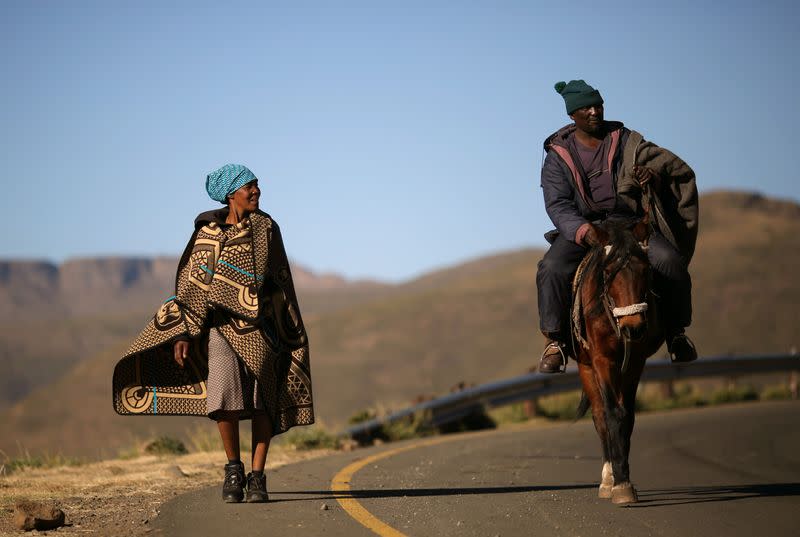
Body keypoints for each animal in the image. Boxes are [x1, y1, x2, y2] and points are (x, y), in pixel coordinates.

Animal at [576, 218, 664, 502]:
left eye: (646, 269)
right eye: (607, 272)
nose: (632, 328)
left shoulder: (635, 362)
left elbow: (628, 416)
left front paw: (624, 477)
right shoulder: (602, 360)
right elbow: (612, 414)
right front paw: (619, 482)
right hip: (585, 366)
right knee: (599, 415)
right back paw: (607, 479)